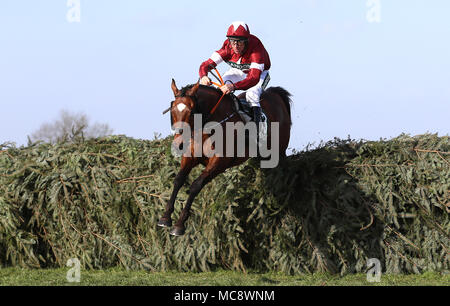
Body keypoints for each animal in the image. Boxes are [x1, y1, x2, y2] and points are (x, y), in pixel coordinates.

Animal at [158, 77, 292, 235]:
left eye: (191, 112)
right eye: (172, 110)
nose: (178, 144)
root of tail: (276, 94)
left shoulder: (219, 163)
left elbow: (195, 185)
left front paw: (179, 225)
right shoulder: (190, 157)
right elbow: (178, 180)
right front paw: (165, 217)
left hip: (278, 153)